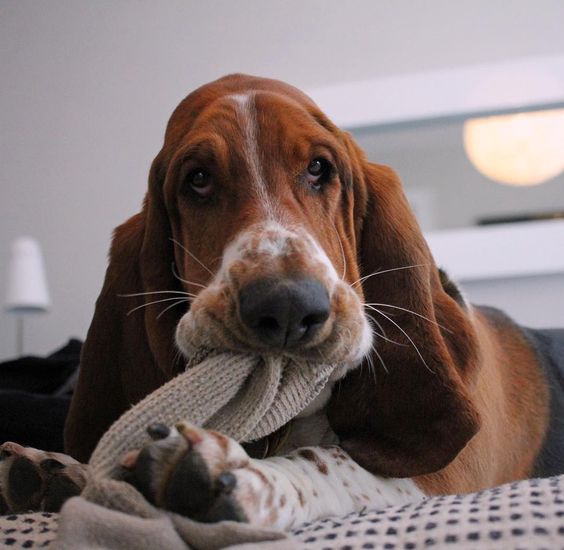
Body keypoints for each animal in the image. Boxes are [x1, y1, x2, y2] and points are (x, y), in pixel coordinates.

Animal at [1, 75, 564, 528]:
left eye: (319, 168)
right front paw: (61, 469)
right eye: (198, 178)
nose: (288, 306)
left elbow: (332, 462)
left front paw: (242, 477)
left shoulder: (445, 473)